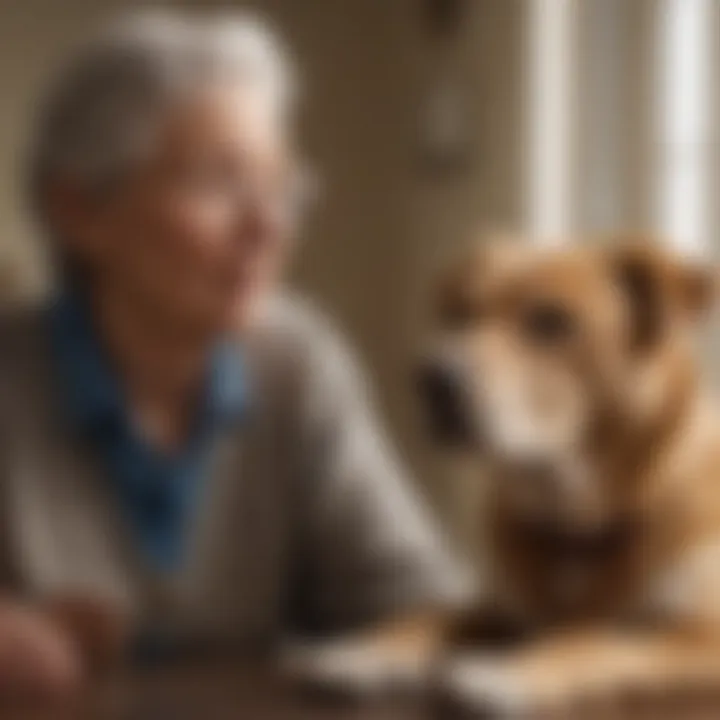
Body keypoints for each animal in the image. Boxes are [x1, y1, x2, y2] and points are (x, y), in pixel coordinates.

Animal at [290, 238, 720, 716]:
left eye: (551, 322)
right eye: (460, 315)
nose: (430, 378)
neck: (570, 525)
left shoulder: (700, 634)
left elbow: (589, 638)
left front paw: (511, 673)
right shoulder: (500, 609)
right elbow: (426, 616)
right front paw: (362, 651)